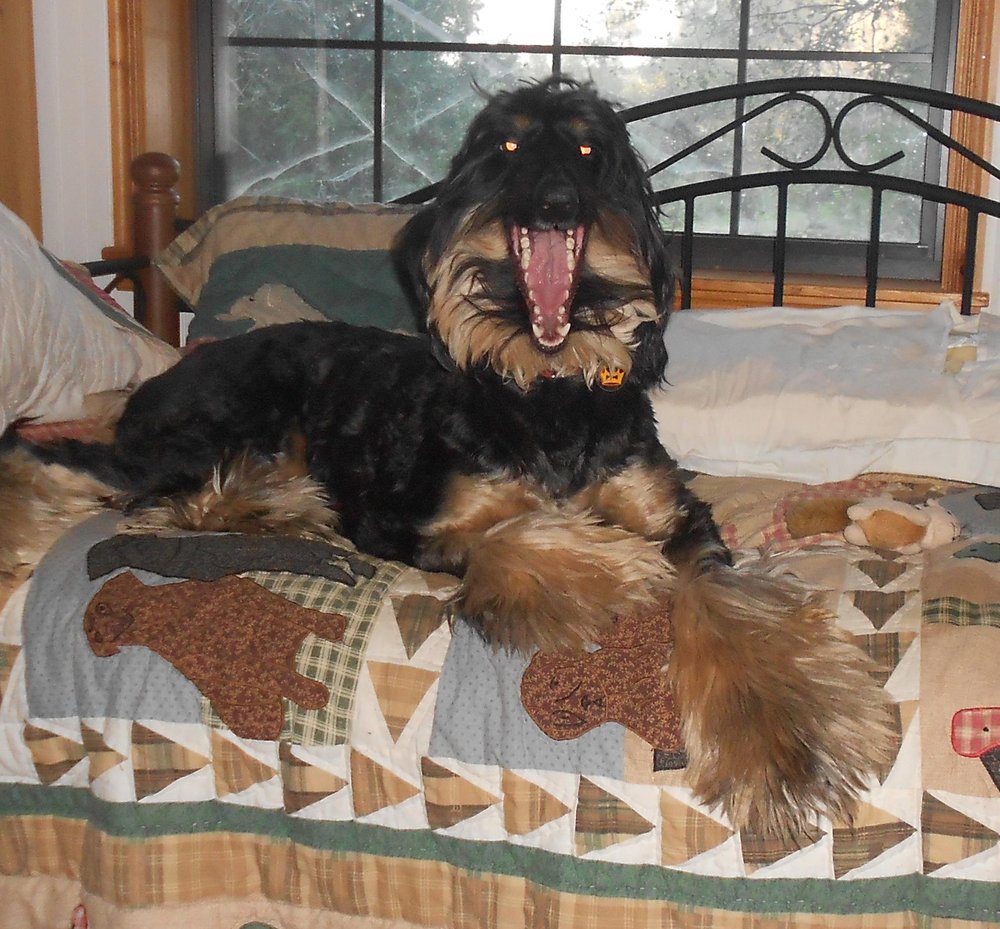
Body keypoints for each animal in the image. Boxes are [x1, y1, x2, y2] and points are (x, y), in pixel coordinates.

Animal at [11, 77, 891, 835]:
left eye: (586, 149)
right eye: (506, 145)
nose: (555, 202)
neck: (548, 390)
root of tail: (156, 383)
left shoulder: (678, 516)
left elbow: (716, 599)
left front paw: (781, 740)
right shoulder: (418, 519)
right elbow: (513, 533)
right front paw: (614, 565)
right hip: (235, 415)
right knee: (146, 487)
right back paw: (280, 502)